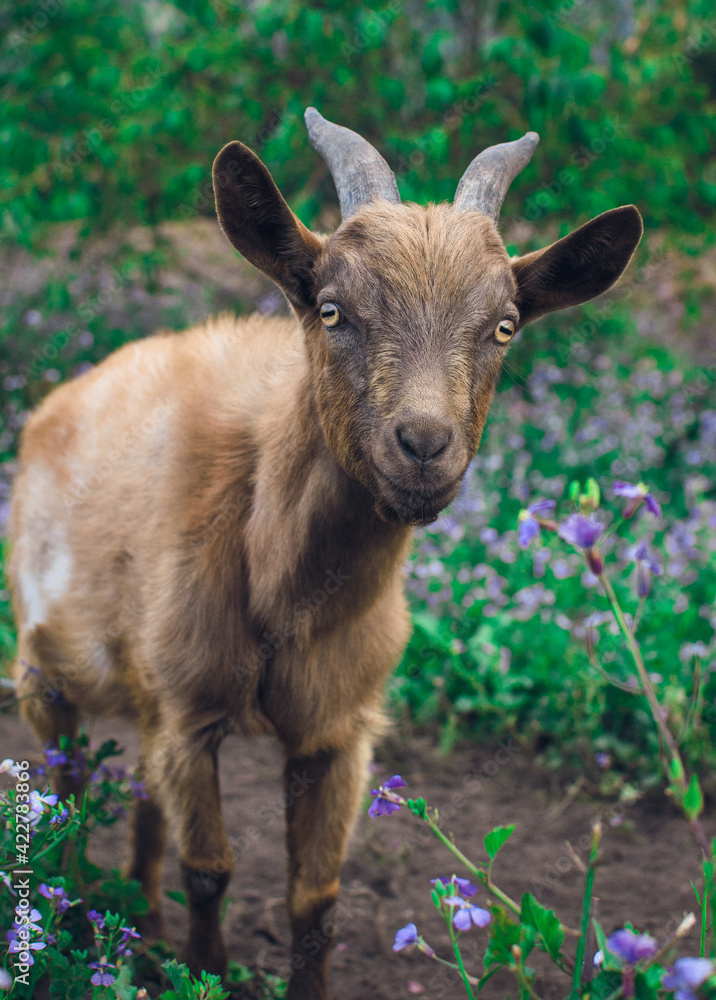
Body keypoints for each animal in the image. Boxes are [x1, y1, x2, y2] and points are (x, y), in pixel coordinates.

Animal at [8, 108, 642, 999]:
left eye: (505, 325)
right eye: (335, 309)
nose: (424, 445)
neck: (282, 583)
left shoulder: (337, 728)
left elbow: (315, 898)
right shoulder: (189, 708)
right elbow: (211, 868)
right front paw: (204, 972)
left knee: (138, 800)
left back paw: (140, 935)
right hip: (46, 672)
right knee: (67, 793)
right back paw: (73, 932)